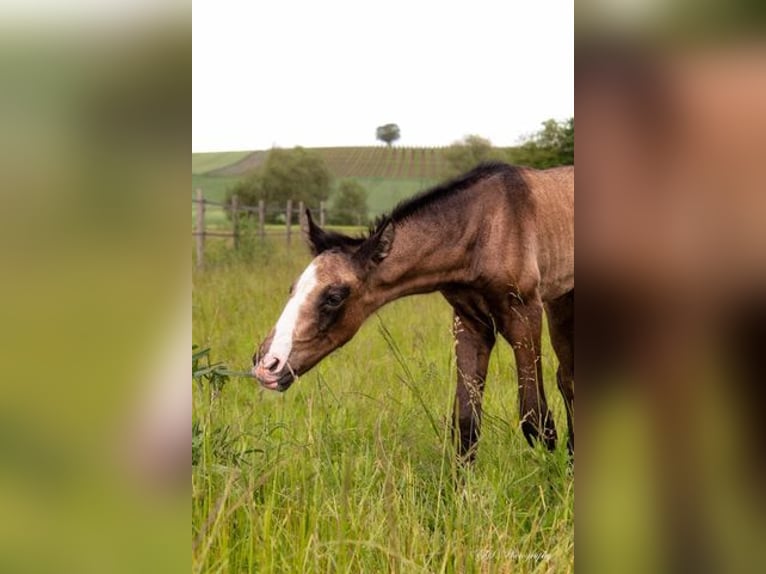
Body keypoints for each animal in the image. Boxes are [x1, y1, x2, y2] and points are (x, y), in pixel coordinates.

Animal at [254, 163, 576, 464]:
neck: (483, 230)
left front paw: (550, 481)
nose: (266, 365)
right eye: (293, 288)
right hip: (560, 303)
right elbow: (466, 422)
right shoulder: (471, 322)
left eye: (334, 297)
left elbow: (535, 417)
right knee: (568, 378)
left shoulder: (524, 312)